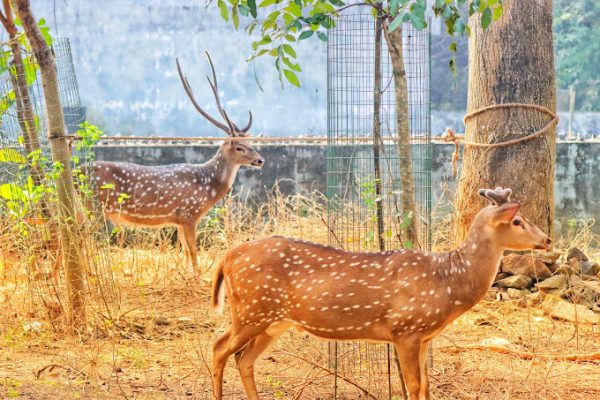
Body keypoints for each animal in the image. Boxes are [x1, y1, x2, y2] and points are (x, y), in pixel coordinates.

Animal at [92, 52, 264, 272]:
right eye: (239, 147)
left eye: (250, 142)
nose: (260, 160)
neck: (208, 186)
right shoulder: (189, 214)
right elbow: (193, 250)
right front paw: (197, 276)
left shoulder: (178, 221)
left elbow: (185, 252)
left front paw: (186, 274)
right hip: (93, 207)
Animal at [211, 188, 552, 400]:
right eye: (517, 220)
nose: (547, 239)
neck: (447, 281)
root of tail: (226, 258)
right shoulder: (406, 329)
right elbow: (413, 386)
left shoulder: (423, 336)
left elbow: (425, 386)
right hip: (252, 310)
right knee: (219, 348)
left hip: (272, 321)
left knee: (243, 359)